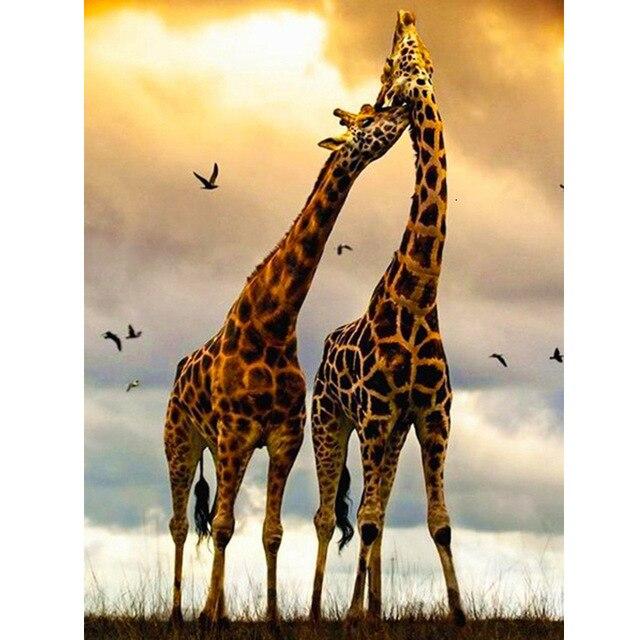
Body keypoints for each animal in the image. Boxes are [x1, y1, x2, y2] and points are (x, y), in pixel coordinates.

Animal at [163, 103, 409, 627]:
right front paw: (208, 618)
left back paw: (218, 611)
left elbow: (268, 531)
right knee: (179, 523)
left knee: (216, 515)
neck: (272, 325)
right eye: (366, 119)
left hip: (216, 446)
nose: (401, 107)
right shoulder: (237, 433)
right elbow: (222, 526)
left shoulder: (283, 436)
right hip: (181, 439)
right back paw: (179, 614)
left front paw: (271, 617)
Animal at [310, 11, 466, 626]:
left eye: (413, 52)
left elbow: (438, 524)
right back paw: (323, 612)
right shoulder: (376, 413)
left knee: (372, 509)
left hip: (391, 432)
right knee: (333, 515)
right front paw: (353, 617)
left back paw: (371, 607)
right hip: (334, 421)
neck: (418, 295)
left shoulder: (431, 413)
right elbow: (369, 520)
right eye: (399, 58)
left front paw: (459, 615)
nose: (405, 17)